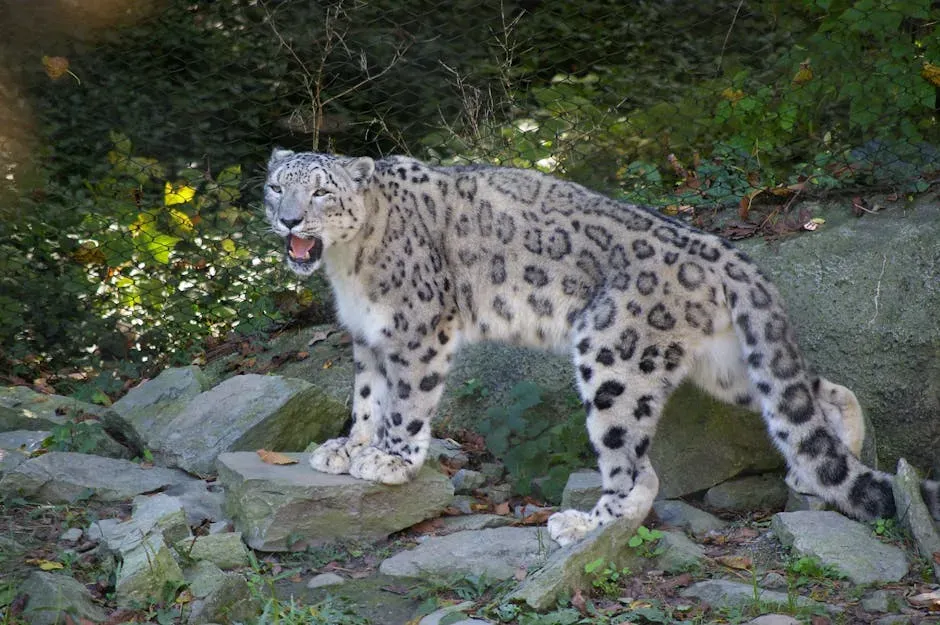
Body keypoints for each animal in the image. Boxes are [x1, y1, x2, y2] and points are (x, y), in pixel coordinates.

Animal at [264, 149, 940, 546]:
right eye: (275, 187)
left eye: (321, 192)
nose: (289, 220)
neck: (346, 267)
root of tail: (723, 252)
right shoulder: (367, 335)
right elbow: (367, 396)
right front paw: (348, 447)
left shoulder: (417, 328)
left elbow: (405, 401)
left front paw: (392, 460)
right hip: (726, 364)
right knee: (807, 394)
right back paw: (820, 462)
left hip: (614, 355)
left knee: (634, 467)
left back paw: (580, 522)